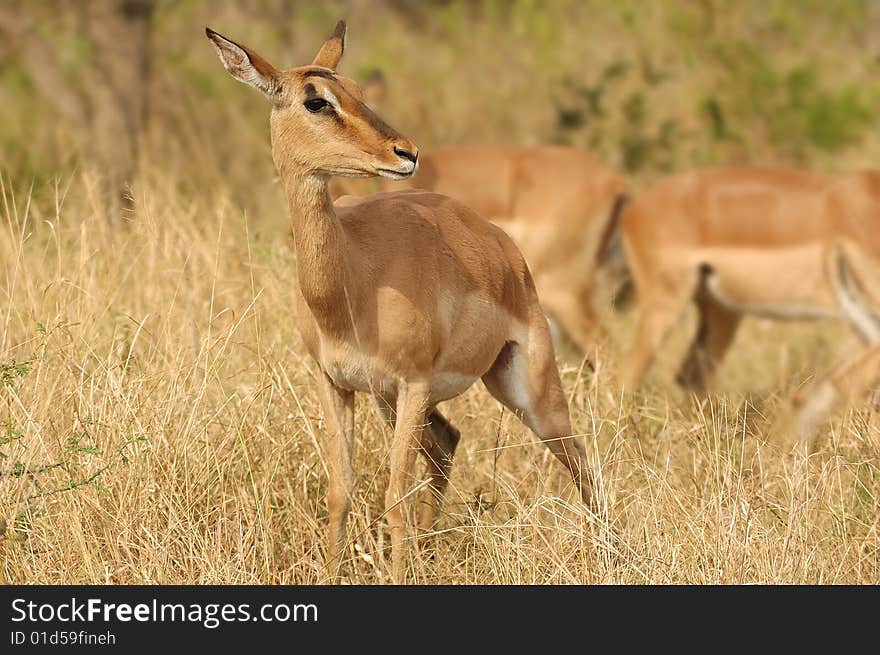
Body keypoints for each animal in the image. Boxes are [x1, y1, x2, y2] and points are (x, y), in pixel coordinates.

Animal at [205, 20, 592, 584]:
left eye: (358, 91)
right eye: (316, 100)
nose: (405, 152)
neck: (353, 280)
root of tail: (503, 248)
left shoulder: (414, 382)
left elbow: (392, 496)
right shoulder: (336, 384)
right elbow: (341, 492)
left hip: (526, 387)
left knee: (578, 455)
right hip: (397, 400)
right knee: (448, 443)